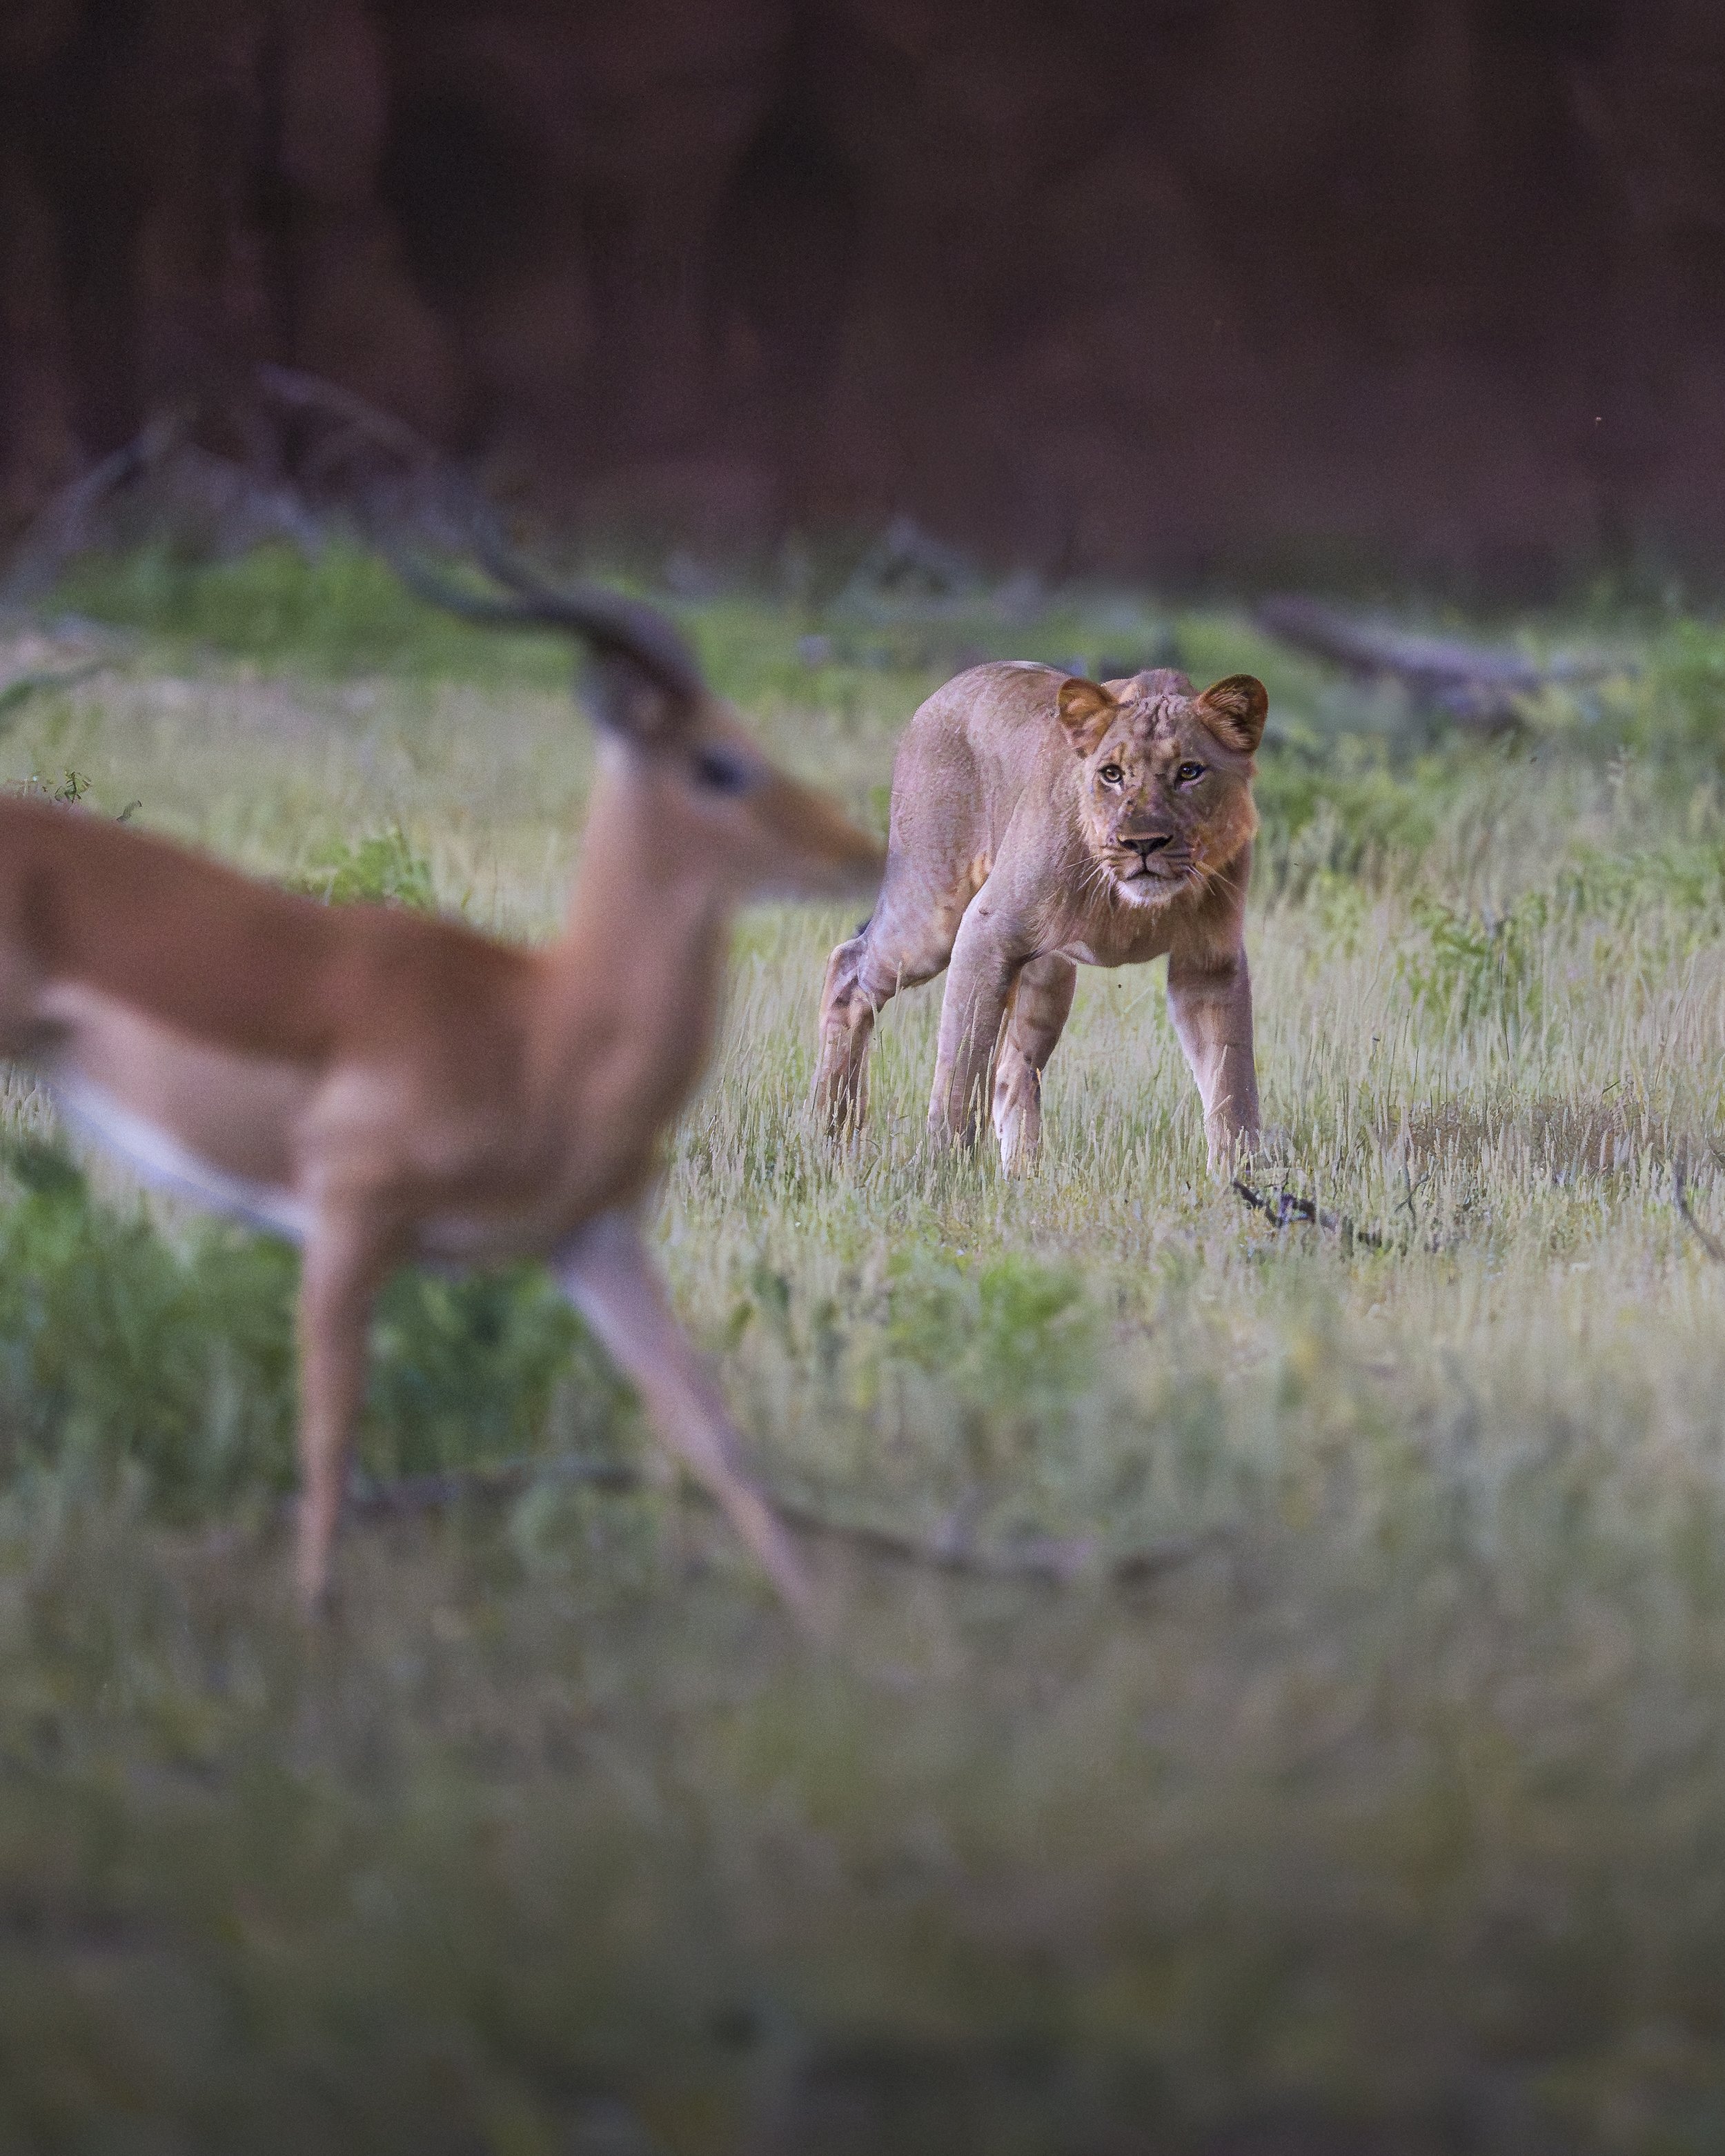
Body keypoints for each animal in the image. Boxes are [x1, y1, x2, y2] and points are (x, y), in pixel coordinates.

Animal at [811, 661, 1268, 1170]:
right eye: (1112, 774)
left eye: (1189, 771)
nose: (1143, 843)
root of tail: (943, 691)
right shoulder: (985, 931)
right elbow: (962, 1068)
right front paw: (944, 1171)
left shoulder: (1209, 963)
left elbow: (1232, 1083)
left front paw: (1245, 1178)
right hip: (931, 916)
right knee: (850, 967)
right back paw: (826, 1135)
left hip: (1048, 972)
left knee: (1013, 1072)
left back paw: (1024, 1175)